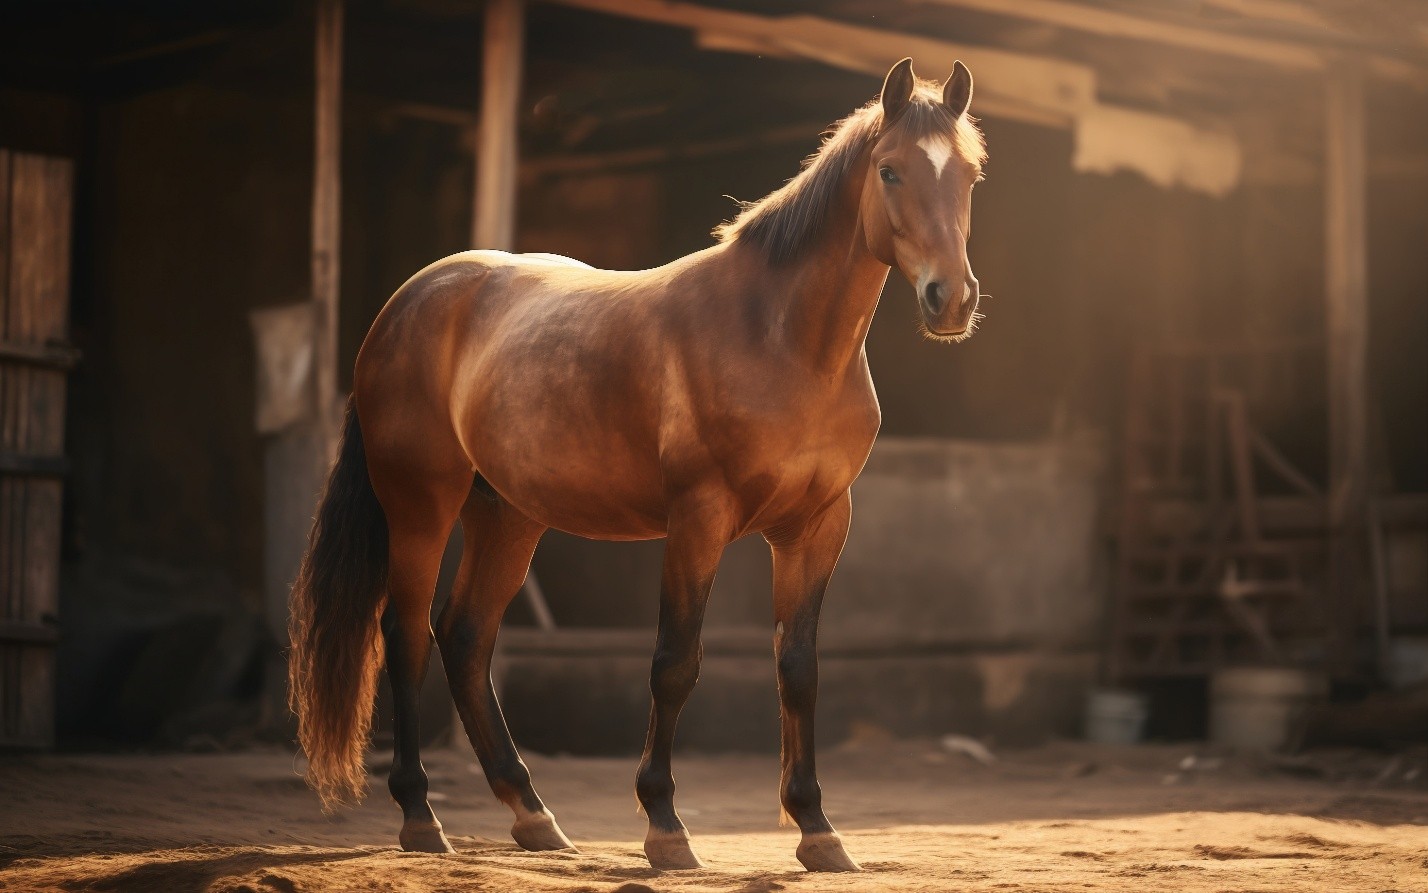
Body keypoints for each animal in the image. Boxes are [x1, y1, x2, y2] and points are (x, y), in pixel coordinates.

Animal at [288, 56, 985, 873]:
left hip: (508, 514)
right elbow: (675, 663)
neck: (779, 337)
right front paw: (665, 826)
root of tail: (407, 303)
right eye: (890, 170)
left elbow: (799, 669)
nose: (950, 299)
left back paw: (534, 816)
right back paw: (422, 818)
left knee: (465, 638)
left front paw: (817, 828)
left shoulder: (818, 526)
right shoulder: (698, 519)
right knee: (404, 639)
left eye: (969, 174)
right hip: (421, 508)